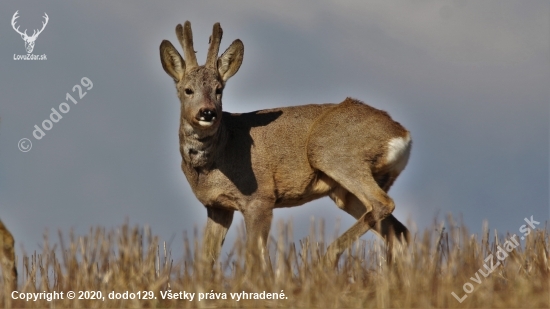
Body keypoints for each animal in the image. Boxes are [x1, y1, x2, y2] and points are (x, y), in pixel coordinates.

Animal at [160, 21, 414, 266]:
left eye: (219, 90)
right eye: (188, 90)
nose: (207, 112)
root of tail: (403, 135)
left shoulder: (260, 199)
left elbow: (256, 257)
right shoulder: (217, 207)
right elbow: (207, 258)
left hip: (333, 154)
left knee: (384, 205)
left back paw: (327, 258)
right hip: (348, 191)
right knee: (399, 232)